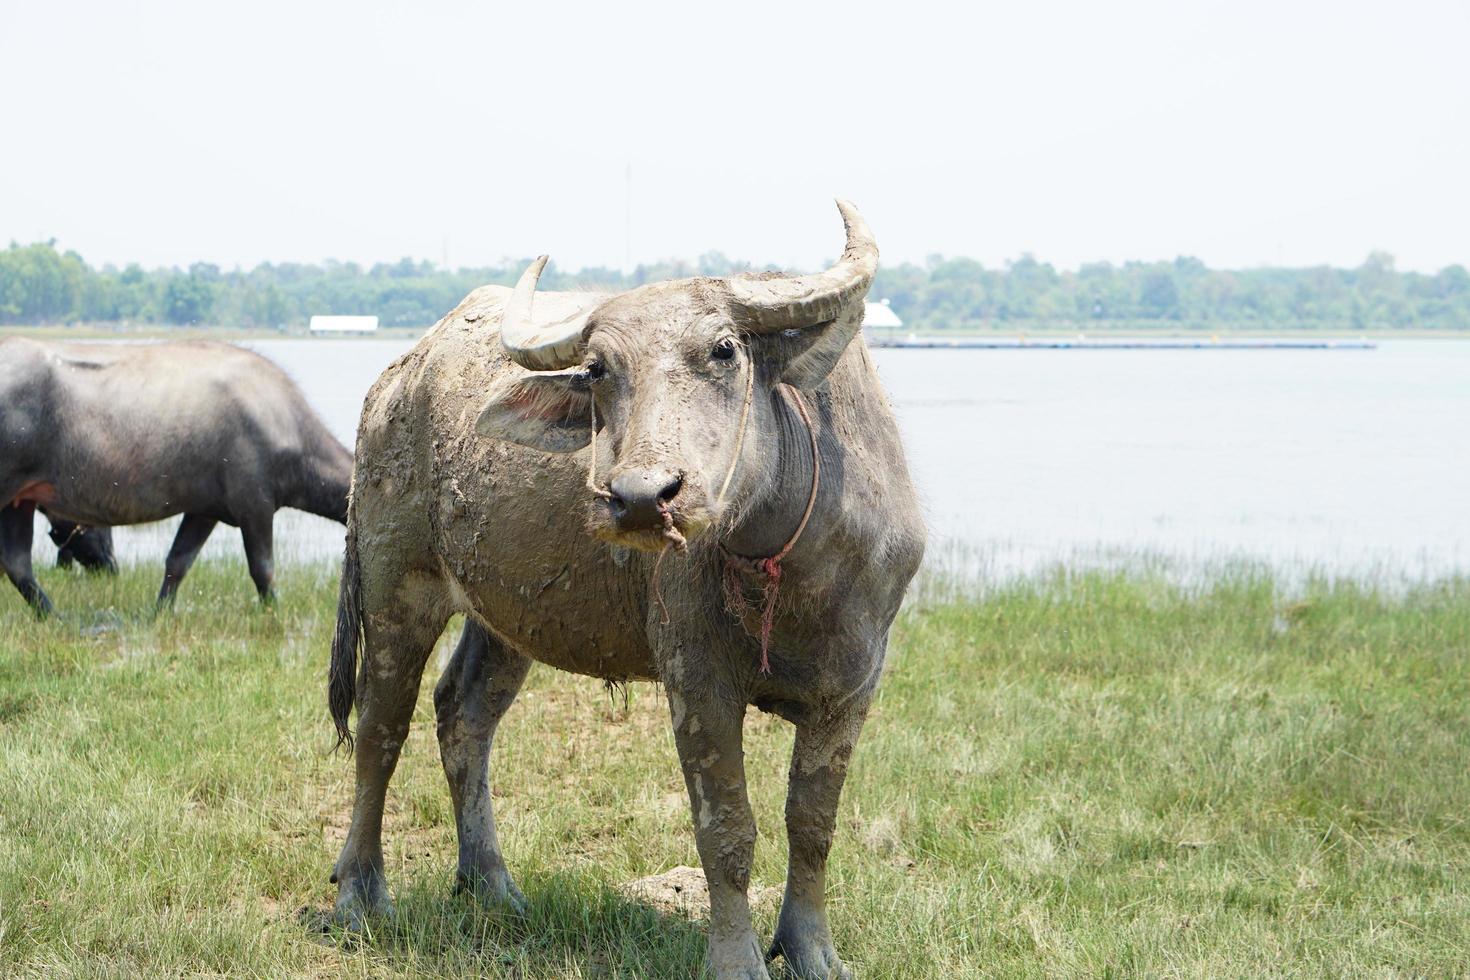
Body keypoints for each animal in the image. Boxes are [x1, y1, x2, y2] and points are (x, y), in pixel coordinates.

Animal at [0, 337, 352, 614]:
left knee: (17, 565)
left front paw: (161, 612)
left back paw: (52, 616)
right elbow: (263, 569)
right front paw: (272, 612)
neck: (288, 426)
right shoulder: (255, 504)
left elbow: (177, 562)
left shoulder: (205, 510)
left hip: (19, 501)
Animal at [329, 201, 923, 980]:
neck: (790, 565)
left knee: (464, 713)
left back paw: (491, 884)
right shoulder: (696, 676)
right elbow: (726, 828)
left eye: (725, 349)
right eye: (600, 369)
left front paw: (811, 950)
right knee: (380, 726)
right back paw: (360, 894)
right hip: (396, 583)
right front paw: (736, 960)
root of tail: (394, 383)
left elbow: (813, 824)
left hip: (506, 615)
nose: (642, 497)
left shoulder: (853, 687)